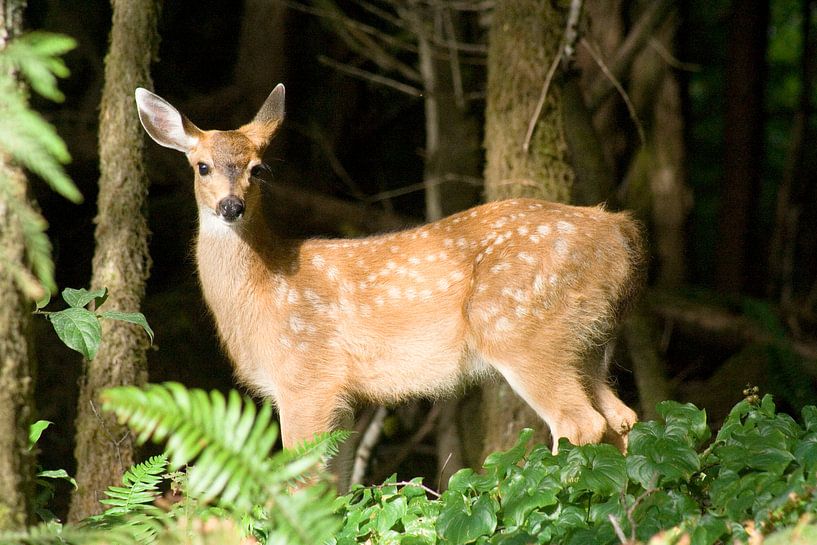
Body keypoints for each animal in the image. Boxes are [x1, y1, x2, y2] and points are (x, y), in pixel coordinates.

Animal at [134, 84, 644, 454]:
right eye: (202, 166)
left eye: (258, 169)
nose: (231, 206)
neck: (263, 289)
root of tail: (615, 229)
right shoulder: (342, 397)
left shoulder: (308, 376)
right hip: (590, 342)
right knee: (621, 418)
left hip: (522, 331)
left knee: (581, 424)